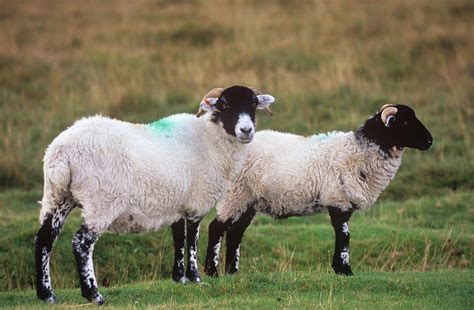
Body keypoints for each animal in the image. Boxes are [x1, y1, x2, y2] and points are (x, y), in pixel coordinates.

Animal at [33, 85, 274, 306]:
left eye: (253, 103)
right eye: (224, 105)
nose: (246, 130)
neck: (210, 139)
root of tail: (62, 151)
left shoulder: (177, 204)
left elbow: (178, 238)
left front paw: (179, 278)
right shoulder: (197, 202)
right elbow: (192, 240)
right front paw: (195, 278)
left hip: (57, 196)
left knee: (44, 238)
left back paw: (46, 295)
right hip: (100, 202)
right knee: (81, 243)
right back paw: (94, 295)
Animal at [204, 104, 434, 276]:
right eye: (404, 121)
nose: (430, 140)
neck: (359, 153)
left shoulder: (342, 202)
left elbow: (343, 235)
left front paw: (340, 269)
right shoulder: (338, 200)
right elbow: (344, 236)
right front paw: (345, 270)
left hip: (249, 201)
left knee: (235, 233)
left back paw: (232, 272)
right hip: (234, 194)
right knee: (216, 228)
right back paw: (212, 272)